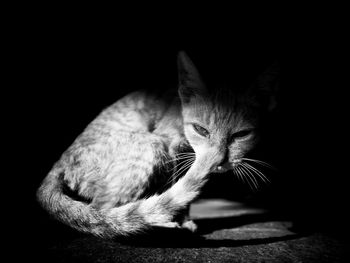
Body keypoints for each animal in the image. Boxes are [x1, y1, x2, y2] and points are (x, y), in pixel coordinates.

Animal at [34, 51, 276, 239]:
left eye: (241, 134)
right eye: (201, 130)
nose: (219, 160)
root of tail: (59, 163)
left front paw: (185, 219)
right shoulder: (172, 148)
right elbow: (177, 186)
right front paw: (181, 219)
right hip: (152, 146)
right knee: (102, 213)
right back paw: (151, 224)